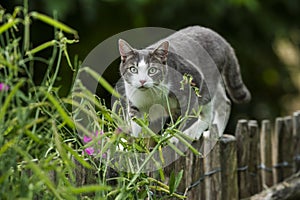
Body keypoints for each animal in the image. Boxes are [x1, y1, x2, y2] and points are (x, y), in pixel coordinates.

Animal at [117, 25, 251, 141]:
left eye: (152, 70)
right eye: (133, 69)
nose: (142, 81)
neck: (150, 94)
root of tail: (222, 40)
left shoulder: (193, 80)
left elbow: (179, 119)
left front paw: (167, 137)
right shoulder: (135, 103)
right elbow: (135, 123)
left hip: (207, 80)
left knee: (208, 108)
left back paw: (195, 132)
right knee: (225, 103)